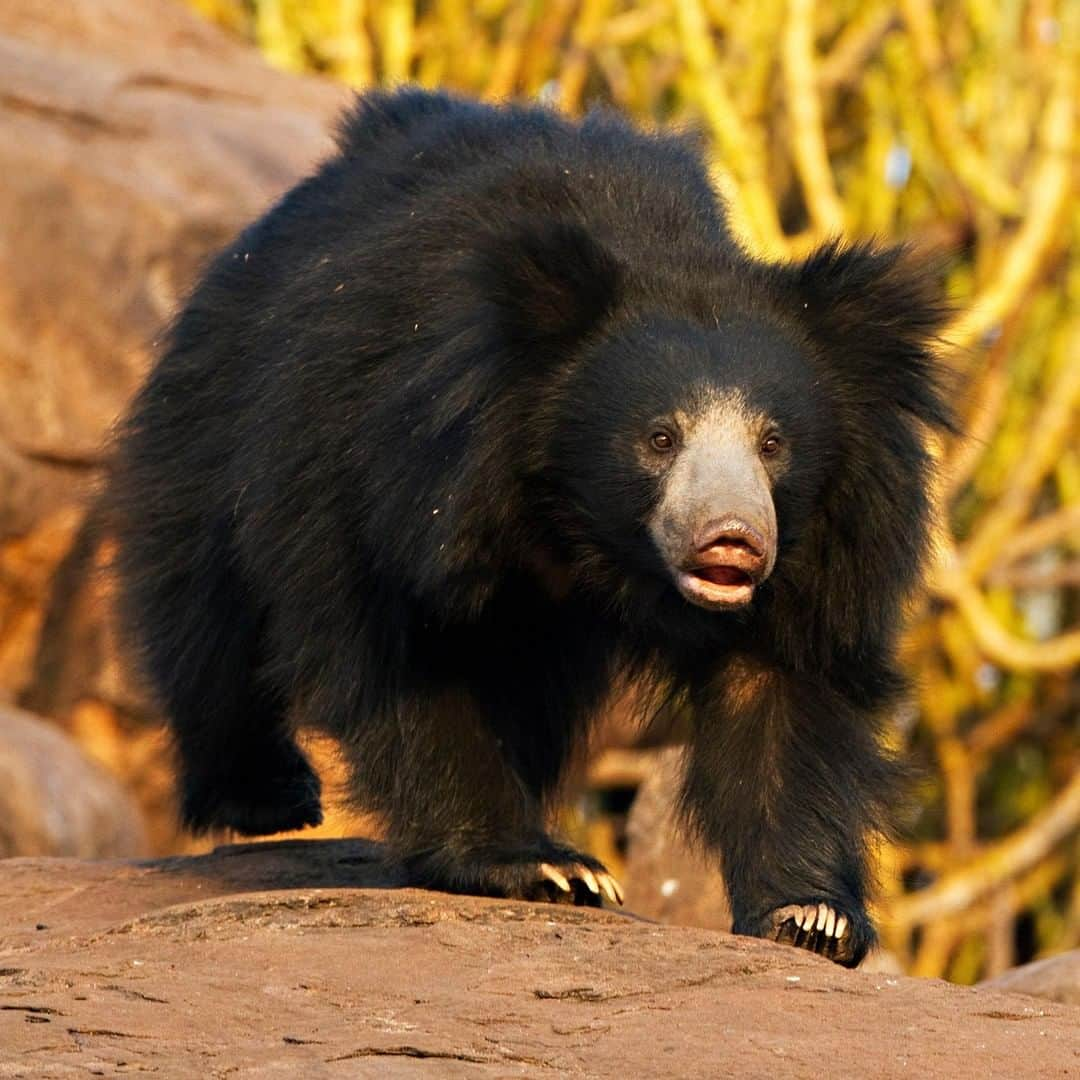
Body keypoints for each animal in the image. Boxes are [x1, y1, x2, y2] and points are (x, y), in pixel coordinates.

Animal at [109, 88, 950, 967]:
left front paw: (811, 915)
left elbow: (782, 682)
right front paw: (544, 867)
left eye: (772, 442)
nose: (733, 540)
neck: (582, 525)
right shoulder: (403, 476)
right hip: (217, 412)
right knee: (207, 613)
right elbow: (411, 646)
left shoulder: (834, 535)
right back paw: (263, 793)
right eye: (659, 437)